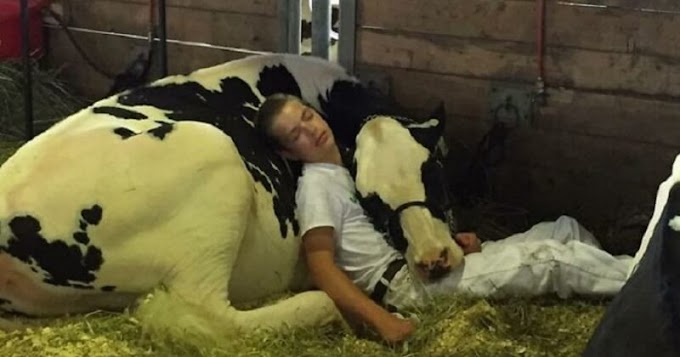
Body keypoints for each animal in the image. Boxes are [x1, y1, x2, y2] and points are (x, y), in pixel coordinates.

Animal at [0, 53, 462, 344]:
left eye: (435, 172)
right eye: (370, 201)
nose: (434, 257)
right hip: (214, 162)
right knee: (208, 315)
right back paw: (325, 308)